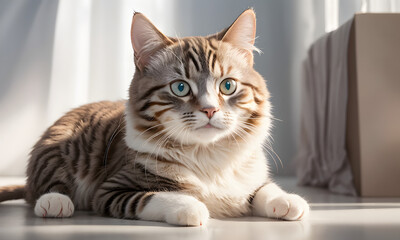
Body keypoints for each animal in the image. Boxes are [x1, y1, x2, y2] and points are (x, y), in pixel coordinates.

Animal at [0, 9, 310, 226]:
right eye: (180, 87)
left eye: (228, 86)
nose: (210, 109)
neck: (208, 155)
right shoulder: (113, 189)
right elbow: (156, 196)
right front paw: (192, 206)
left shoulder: (248, 174)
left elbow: (262, 188)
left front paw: (287, 199)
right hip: (56, 149)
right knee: (46, 186)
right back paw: (54, 201)